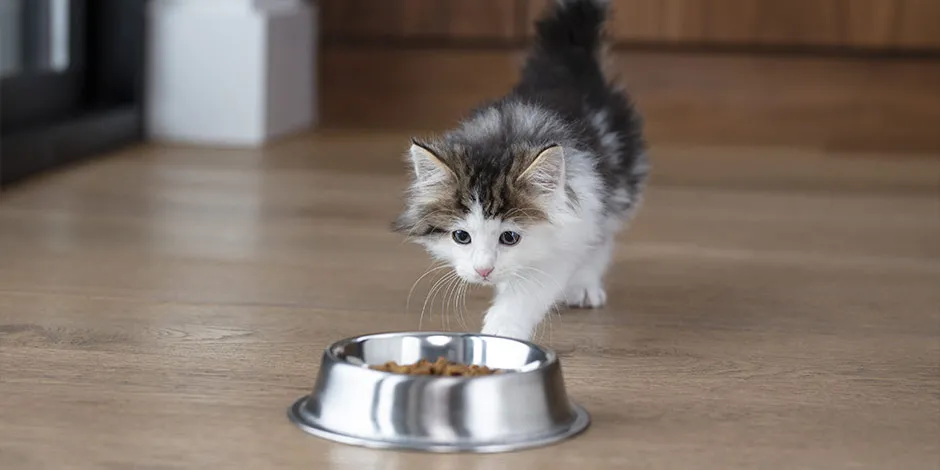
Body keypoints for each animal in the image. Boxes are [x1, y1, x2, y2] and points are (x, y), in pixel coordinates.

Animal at [390, 0, 648, 340]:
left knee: (601, 237)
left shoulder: (569, 229)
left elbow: (529, 290)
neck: (503, 141)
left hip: (618, 185)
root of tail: (568, 61)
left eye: (509, 237)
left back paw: (584, 285)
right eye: (461, 236)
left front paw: (502, 329)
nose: (483, 270)